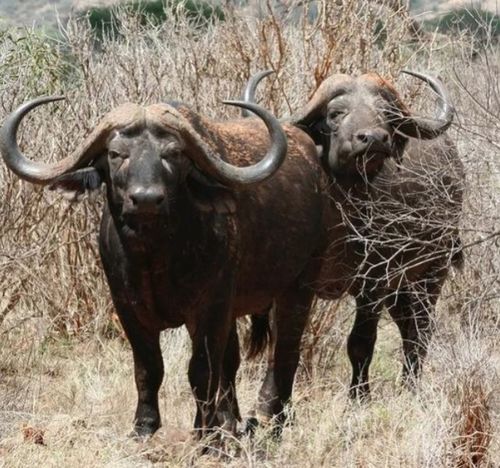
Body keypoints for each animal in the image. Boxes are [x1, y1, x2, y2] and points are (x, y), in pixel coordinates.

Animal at [0, 97, 332, 436]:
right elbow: (149, 367)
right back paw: (230, 420)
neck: (155, 256)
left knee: (285, 352)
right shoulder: (127, 307)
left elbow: (201, 371)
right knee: (233, 361)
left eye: (172, 154)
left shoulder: (210, 308)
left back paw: (272, 419)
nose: (146, 199)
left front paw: (204, 431)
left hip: (298, 288)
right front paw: (145, 426)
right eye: (115, 154)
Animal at [244, 70, 462, 402]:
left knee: (421, 329)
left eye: (387, 114)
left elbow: (361, 342)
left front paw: (359, 396)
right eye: (336, 113)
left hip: (433, 270)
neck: (345, 210)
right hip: (400, 288)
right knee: (407, 327)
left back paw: (410, 387)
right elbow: (282, 339)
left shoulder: (374, 281)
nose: (373, 138)